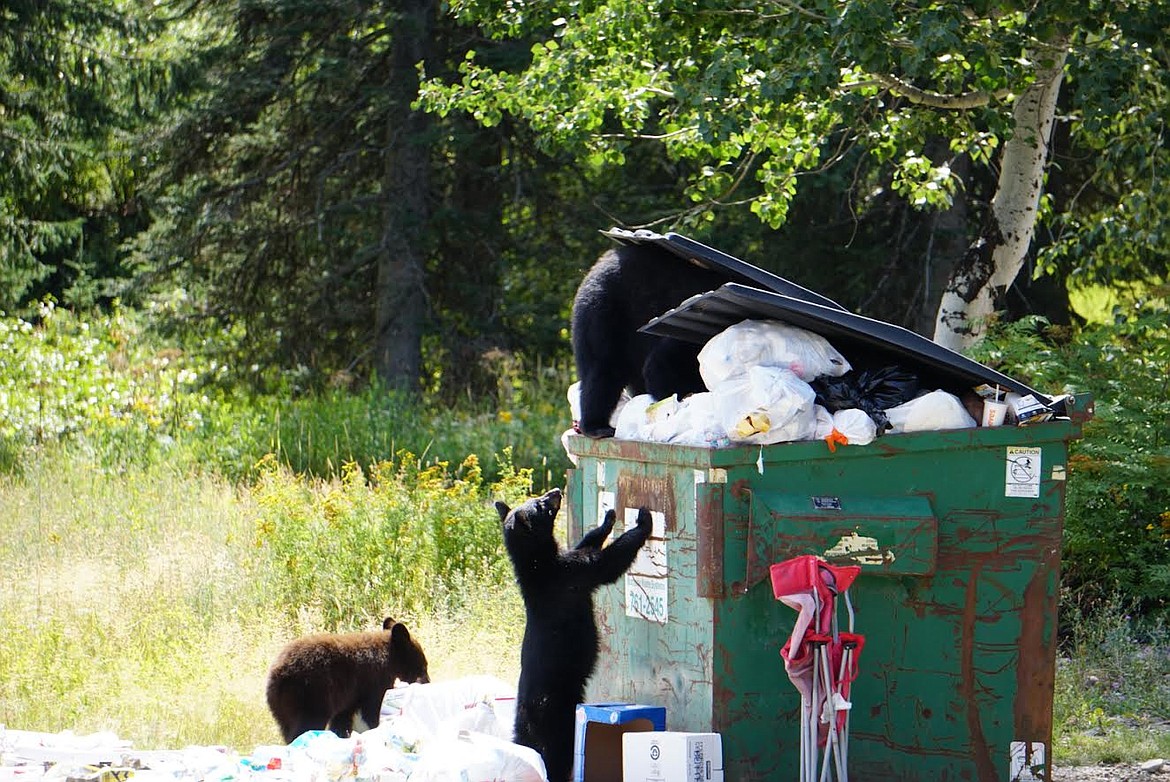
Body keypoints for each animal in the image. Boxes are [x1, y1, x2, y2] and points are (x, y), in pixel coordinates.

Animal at [265, 618, 430, 739]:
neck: (389, 658)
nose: (428, 681)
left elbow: (343, 717)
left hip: (284, 710)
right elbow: (372, 709)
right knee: (307, 724)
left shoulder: (349, 697)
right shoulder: (373, 681)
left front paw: (343, 734)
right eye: (423, 666)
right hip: (311, 696)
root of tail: (277, 676)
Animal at [496, 489, 655, 782]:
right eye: (540, 504)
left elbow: (586, 543)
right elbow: (604, 564)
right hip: (556, 718)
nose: (556, 491)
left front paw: (607, 519)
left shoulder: (565, 564)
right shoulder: (568, 577)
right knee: (555, 756)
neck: (537, 565)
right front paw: (642, 522)